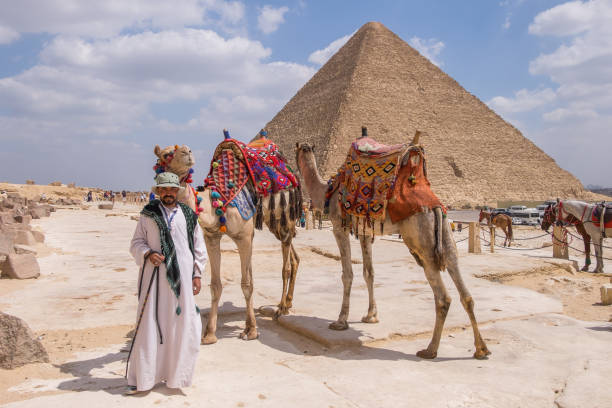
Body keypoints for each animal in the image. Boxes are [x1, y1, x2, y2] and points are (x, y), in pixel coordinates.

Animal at [155, 141, 302, 344]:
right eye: (165, 154)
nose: (187, 152)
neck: (215, 204)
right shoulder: (212, 237)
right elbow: (216, 286)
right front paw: (209, 334)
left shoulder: (244, 236)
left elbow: (246, 284)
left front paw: (252, 331)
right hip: (273, 221)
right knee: (293, 255)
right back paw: (287, 303)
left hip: (284, 214)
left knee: (286, 262)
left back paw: (280, 307)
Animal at [294, 142, 490, 358]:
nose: (293, 170)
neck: (326, 192)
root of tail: (436, 207)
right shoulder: (365, 233)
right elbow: (369, 273)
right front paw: (371, 316)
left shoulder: (339, 226)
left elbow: (348, 274)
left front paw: (340, 321)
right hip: (445, 234)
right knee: (464, 289)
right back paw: (481, 349)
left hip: (420, 239)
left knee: (443, 297)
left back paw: (430, 349)